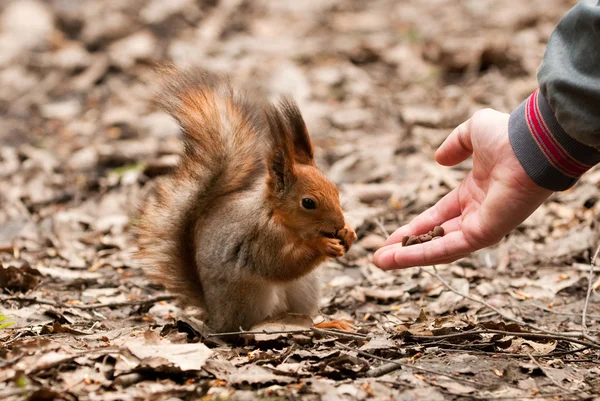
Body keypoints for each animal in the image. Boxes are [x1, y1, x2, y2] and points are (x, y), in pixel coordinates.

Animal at [135, 67, 356, 332]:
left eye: (335, 189)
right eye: (308, 203)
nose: (338, 224)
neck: (283, 220)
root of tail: (215, 315)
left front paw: (349, 233)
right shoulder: (261, 238)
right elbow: (278, 265)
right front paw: (323, 246)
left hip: (304, 287)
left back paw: (328, 323)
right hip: (248, 296)